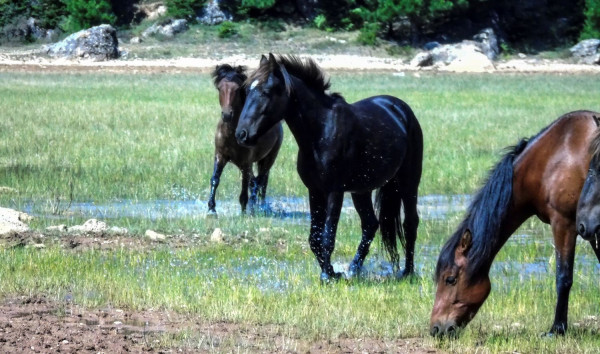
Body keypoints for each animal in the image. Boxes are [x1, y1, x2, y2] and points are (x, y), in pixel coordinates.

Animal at [209, 65, 284, 216]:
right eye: (219, 88)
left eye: (237, 89)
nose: (227, 115)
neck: (232, 134)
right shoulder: (220, 155)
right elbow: (215, 179)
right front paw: (211, 209)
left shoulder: (245, 163)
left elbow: (245, 189)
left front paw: (244, 212)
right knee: (255, 182)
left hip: (269, 158)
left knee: (261, 181)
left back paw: (259, 206)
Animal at [428, 110, 600, 338]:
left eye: (450, 279)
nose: (436, 328)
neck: (553, 157)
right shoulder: (590, 228)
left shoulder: (564, 224)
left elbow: (563, 277)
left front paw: (557, 329)